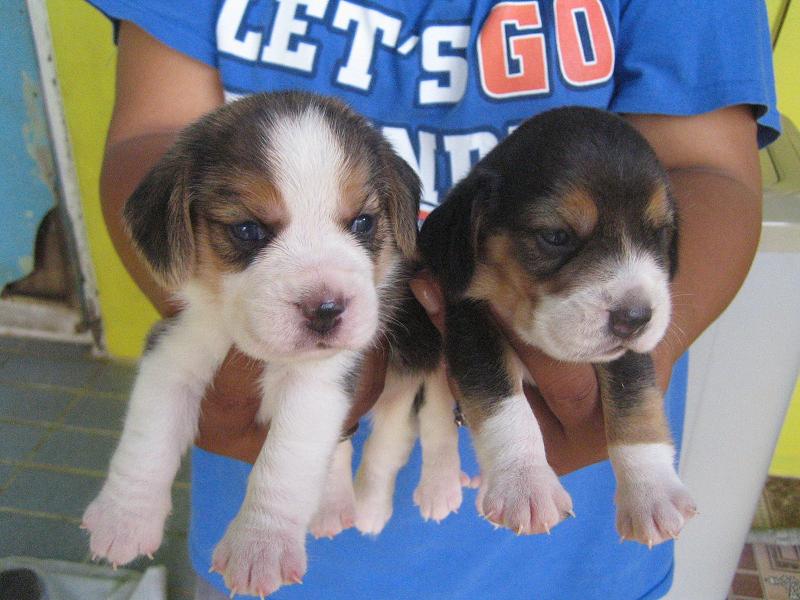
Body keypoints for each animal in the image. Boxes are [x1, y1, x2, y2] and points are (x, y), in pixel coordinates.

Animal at [81, 91, 424, 597]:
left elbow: (284, 464)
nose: (327, 309)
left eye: (363, 223)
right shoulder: (172, 352)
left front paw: (260, 545)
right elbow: (147, 439)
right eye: (247, 230)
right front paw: (125, 517)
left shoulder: (319, 385)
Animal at [354, 106, 696, 547]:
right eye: (556, 236)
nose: (635, 318)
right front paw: (525, 484)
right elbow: (502, 402)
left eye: (658, 234)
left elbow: (635, 403)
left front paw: (651, 493)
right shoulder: (470, 319)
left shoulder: (626, 354)